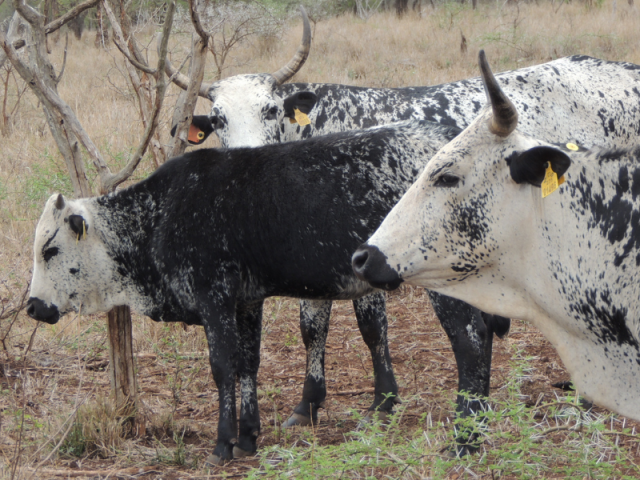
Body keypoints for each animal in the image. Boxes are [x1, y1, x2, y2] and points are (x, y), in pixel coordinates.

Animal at [27, 120, 466, 463]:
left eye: (50, 250)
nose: (32, 306)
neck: (159, 214)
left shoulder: (214, 296)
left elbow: (223, 366)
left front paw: (224, 443)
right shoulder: (248, 301)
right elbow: (248, 364)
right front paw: (249, 436)